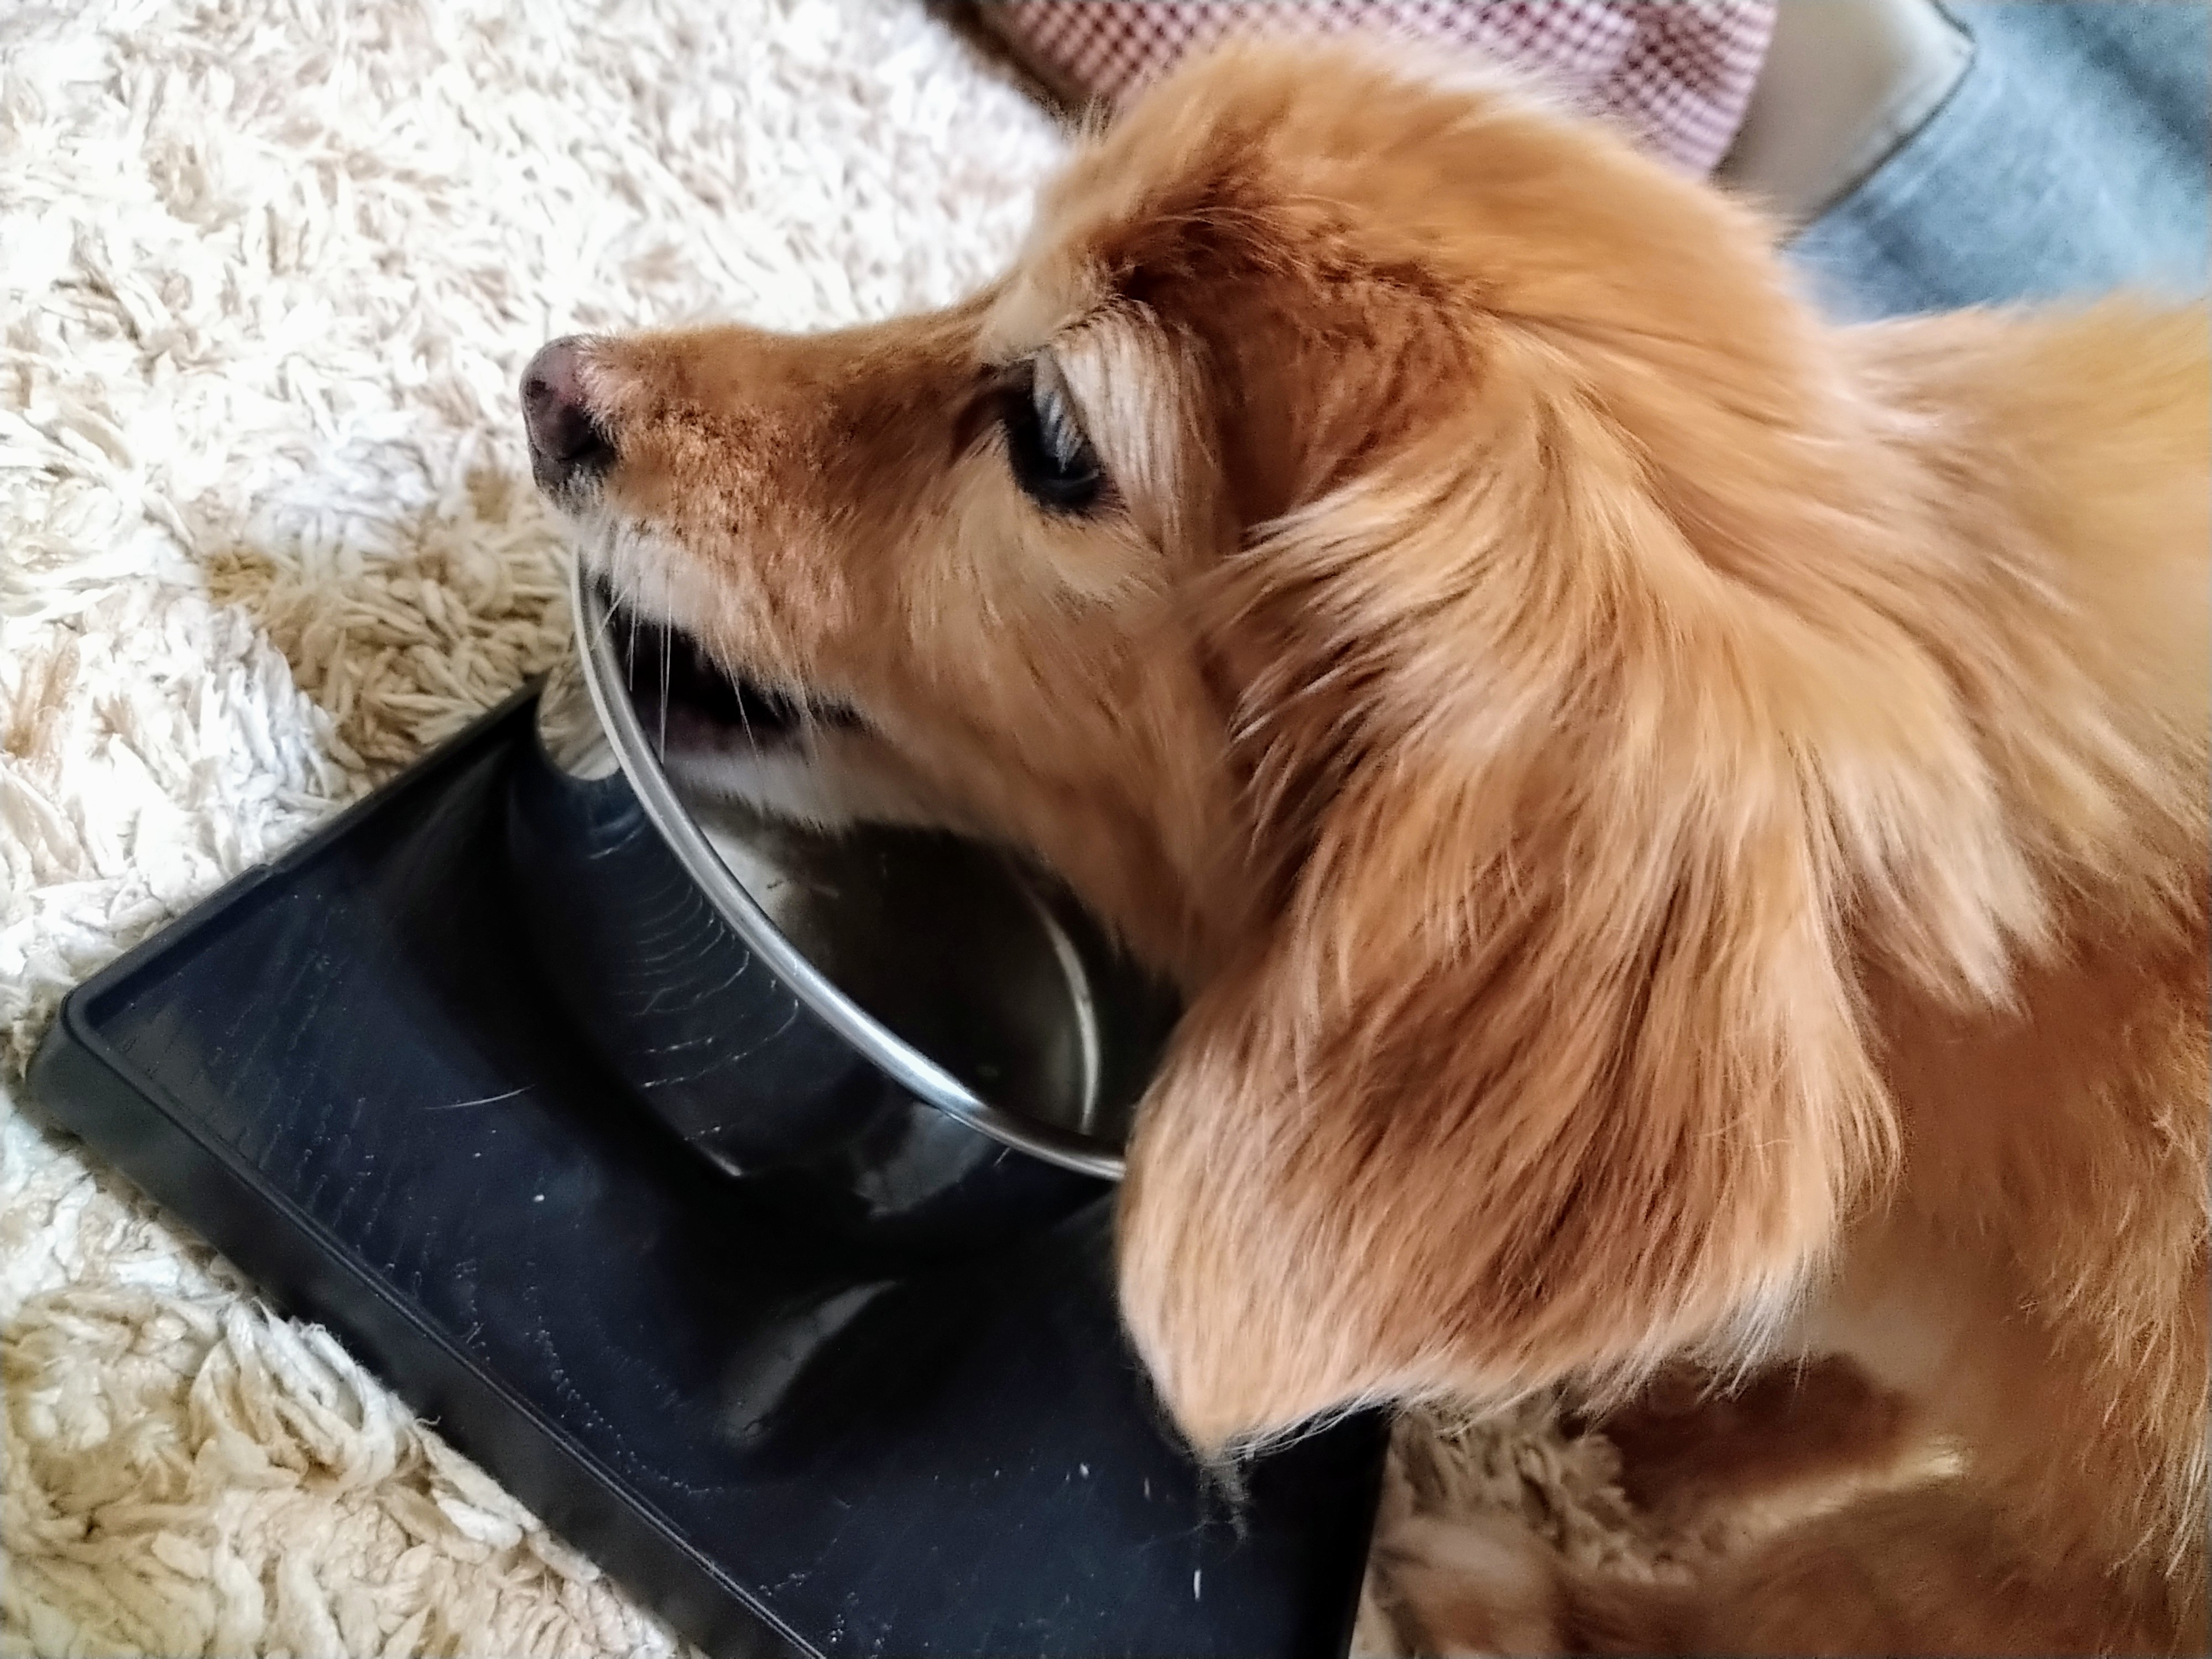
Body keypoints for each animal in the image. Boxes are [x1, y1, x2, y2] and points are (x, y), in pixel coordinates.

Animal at [521, 41, 2209, 1655]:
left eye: (1051, 439)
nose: (552, 386)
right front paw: (1701, 1442)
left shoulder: (2112, 1571)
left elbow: (1859, 1590)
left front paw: (1547, 1615)